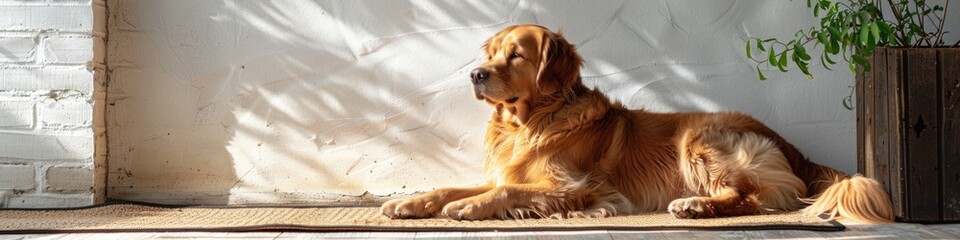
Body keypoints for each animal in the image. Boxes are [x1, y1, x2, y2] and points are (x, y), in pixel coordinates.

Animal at [378, 24, 896, 223]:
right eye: (490, 53)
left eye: (517, 55)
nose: (475, 74)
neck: (531, 121)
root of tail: (791, 148)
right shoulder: (506, 170)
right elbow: (452, 185)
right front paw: (411, 203)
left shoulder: (574, 188)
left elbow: (504, 192)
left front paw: (468, 207)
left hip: (699, 139)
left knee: (753, 198)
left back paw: (694, 206)